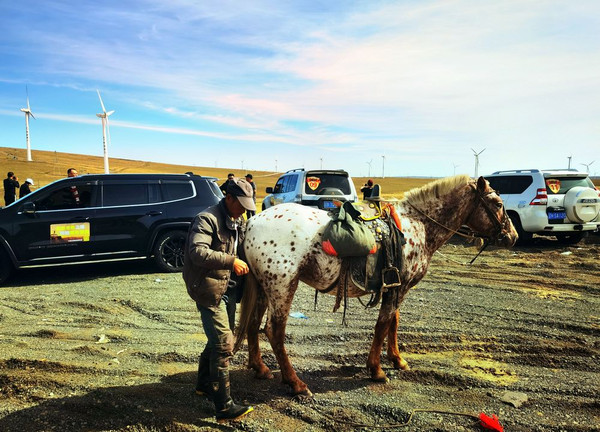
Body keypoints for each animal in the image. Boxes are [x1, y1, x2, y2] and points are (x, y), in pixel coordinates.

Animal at [235, 175, 518, 398]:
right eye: (498, 204)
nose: (512, 236)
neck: (418, 226)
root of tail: (252, 222)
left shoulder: (395, 286)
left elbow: (394, 322)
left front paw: (397, 359)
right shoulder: (398, 288)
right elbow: (383, 325)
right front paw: (377, 370)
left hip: (263, 286)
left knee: (253, 323)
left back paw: (260, 368)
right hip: (282, 285)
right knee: (274, 331)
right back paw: (296, 383)